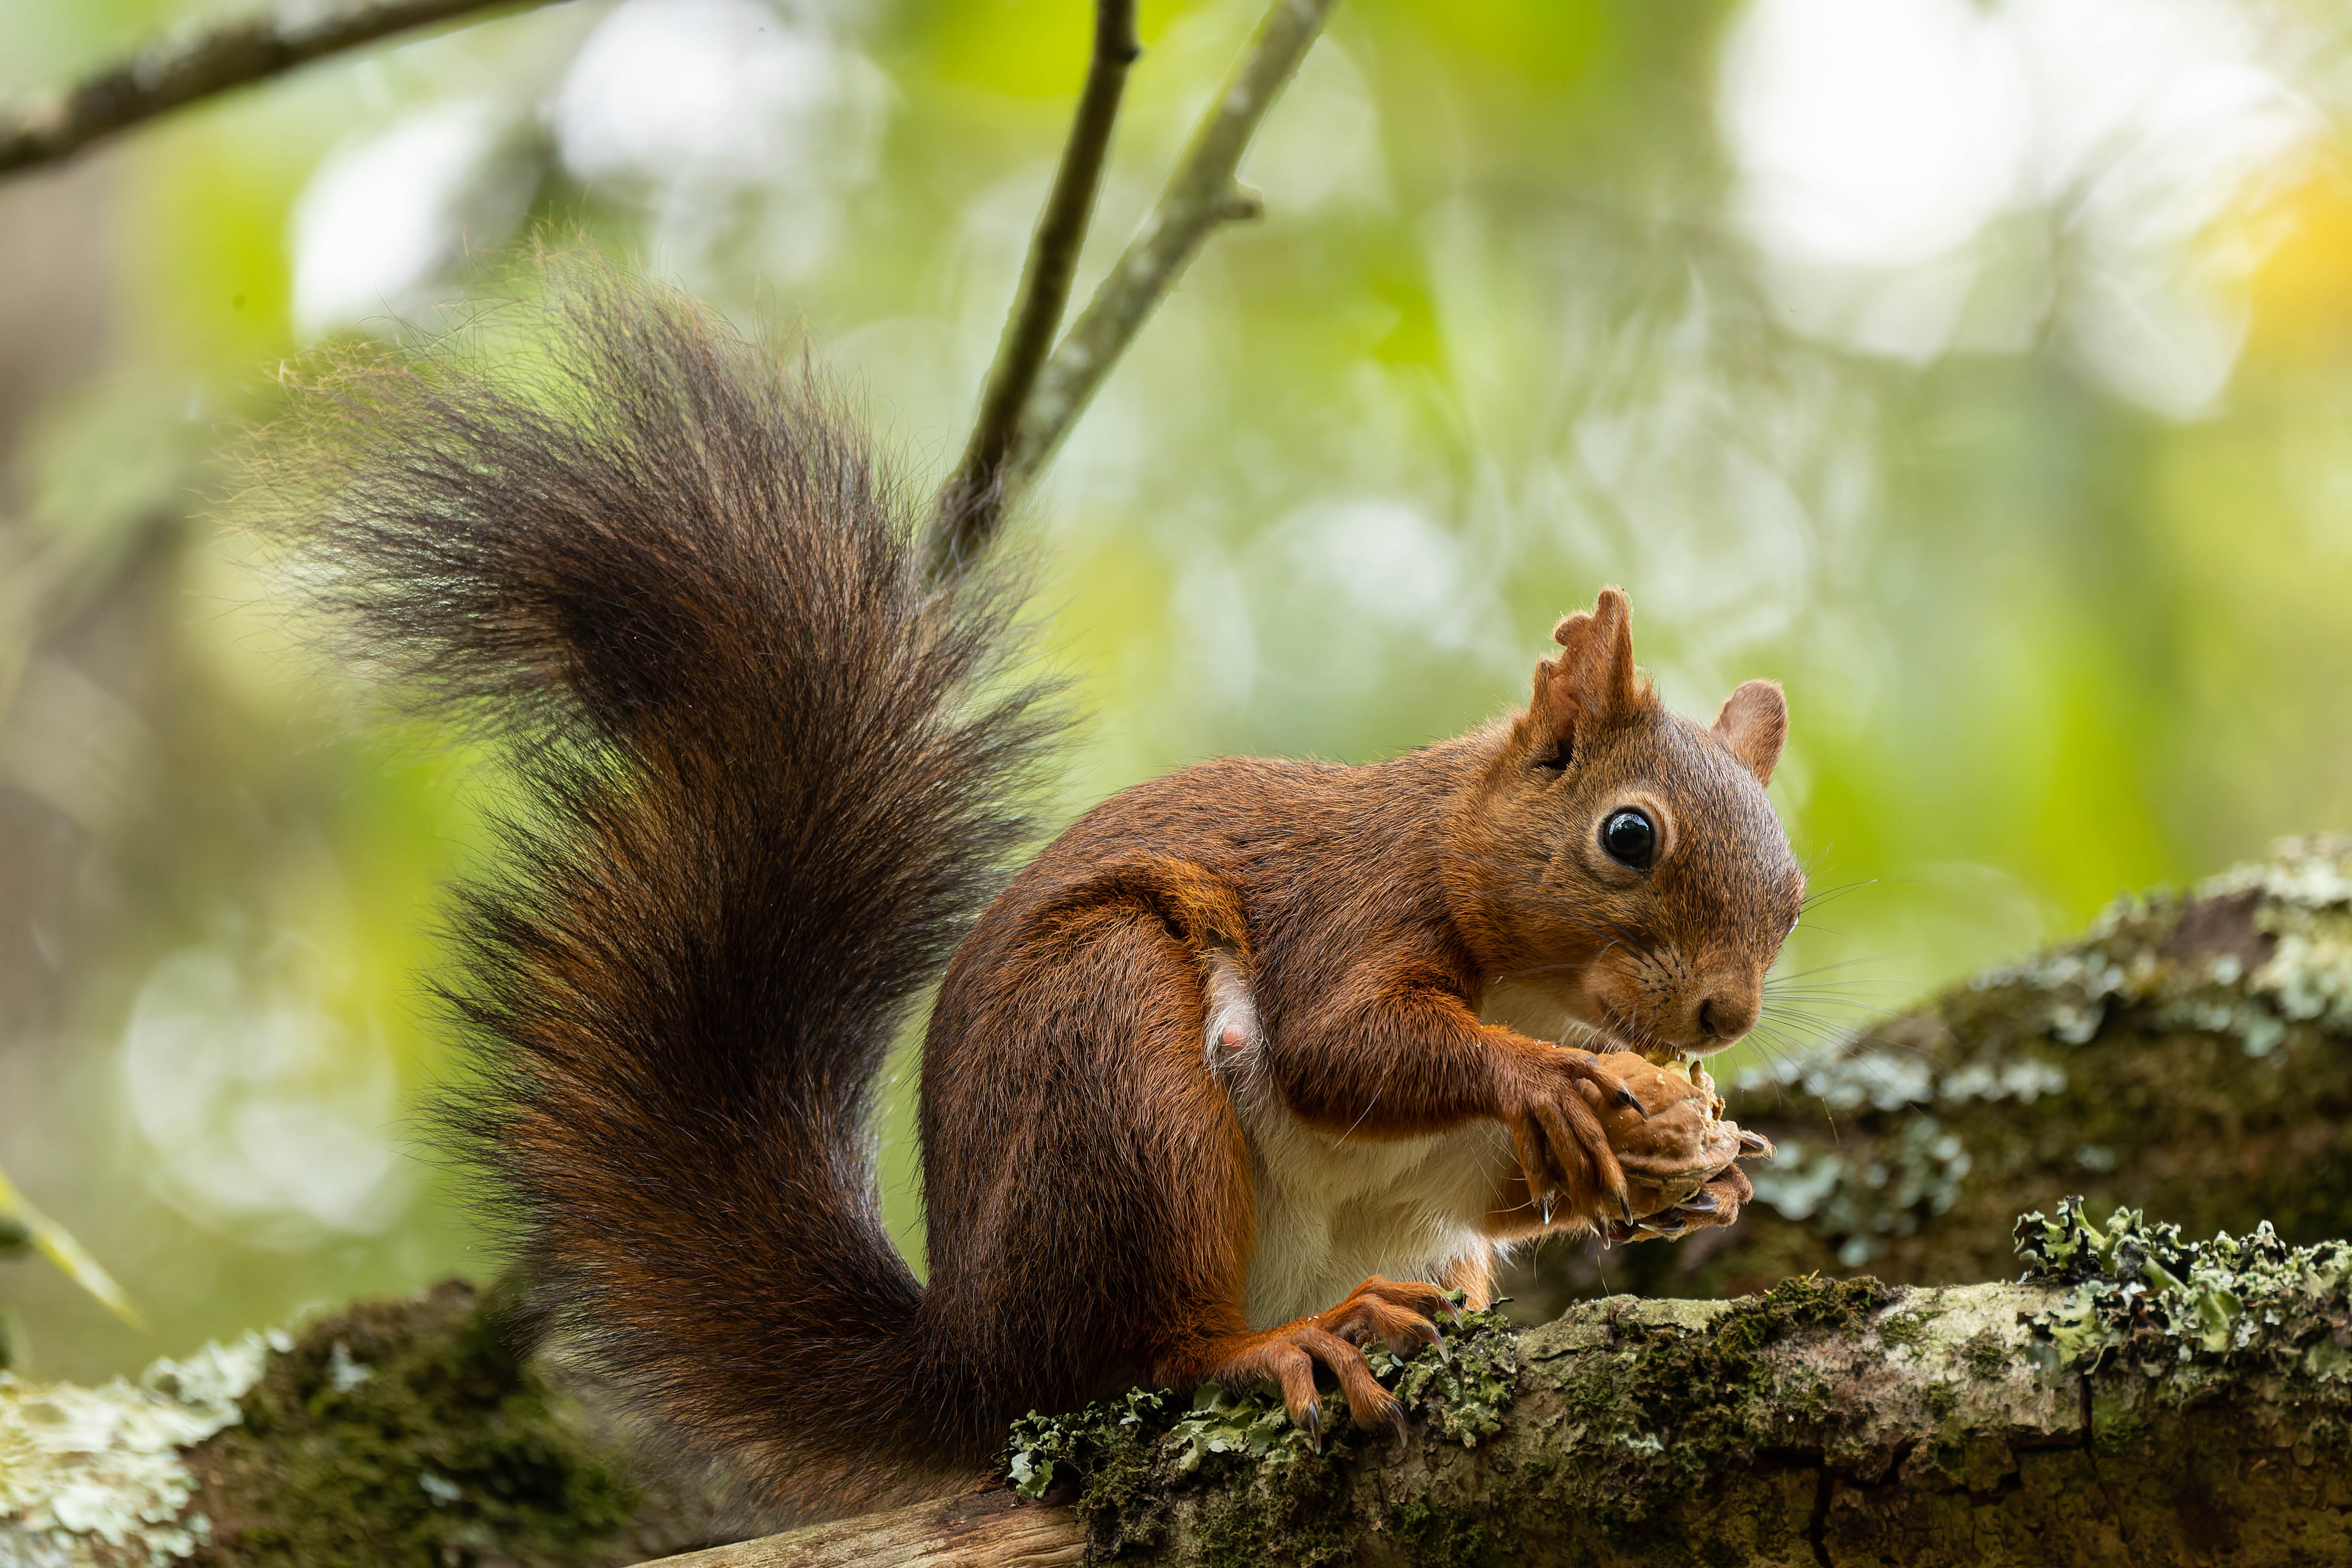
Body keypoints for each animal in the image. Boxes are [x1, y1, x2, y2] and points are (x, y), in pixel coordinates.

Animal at [252, 261, 1803, 1517]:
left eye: (1792, 891)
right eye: (1627, 836)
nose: (1722, 1017)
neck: (1522, 957)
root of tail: (972, 1355)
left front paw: (1682, 1166)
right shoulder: (1356, 903)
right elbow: (1342, 1045)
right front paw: (1560, 1085)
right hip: (1111, 1068)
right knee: (1142, 1352)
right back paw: (1276, 1344)